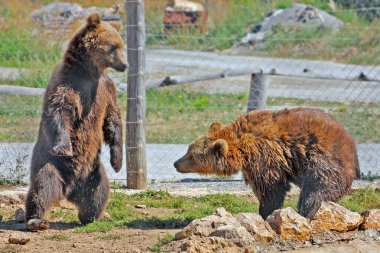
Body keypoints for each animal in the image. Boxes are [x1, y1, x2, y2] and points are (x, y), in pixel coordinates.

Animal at [24, 12, 127, 229]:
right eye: (114, 46)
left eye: (121, 45)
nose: (125, 65)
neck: (88, 73)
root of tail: (70, 190)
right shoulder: (69, 83)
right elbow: (59, 111)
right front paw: (65, 146)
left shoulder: (106, 89)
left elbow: (113, 120)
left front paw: (117, 161)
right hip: (50, 162)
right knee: (43, 185)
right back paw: (36, 219)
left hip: (92, 171)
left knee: (99, 191)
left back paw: (91, 216)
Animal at [174, 107, 360, 218]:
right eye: (188, 150)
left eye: (192, 156)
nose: (176, 163)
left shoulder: (266, 157)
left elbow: (272, 188)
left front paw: (265, 212)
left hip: (324, 162)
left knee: (315, 192)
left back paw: (305, 212)